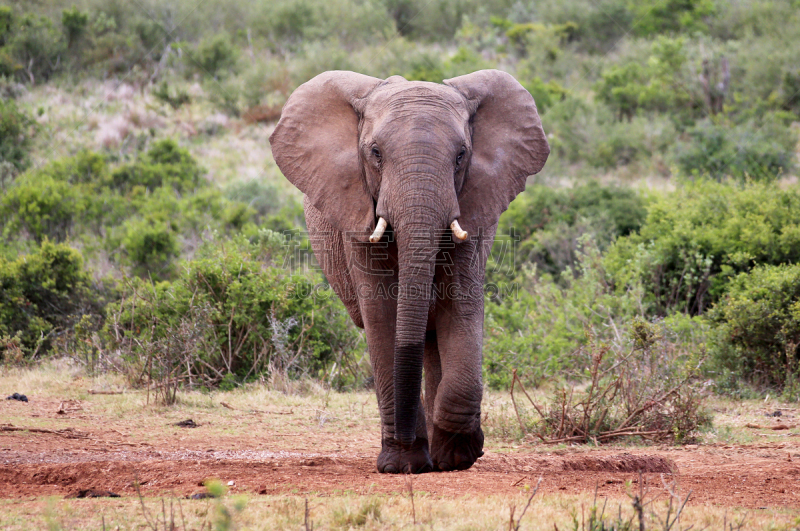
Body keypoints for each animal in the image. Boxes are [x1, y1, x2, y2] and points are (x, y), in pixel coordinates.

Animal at [268, 69, 552, 474]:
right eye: (375, 153)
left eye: (461, 155)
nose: (406, 447)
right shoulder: (356, 215)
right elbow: (382, 313)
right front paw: (403, 464)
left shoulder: (474, 206)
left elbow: (460, 302)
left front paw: (460, 454)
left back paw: (442, 454)